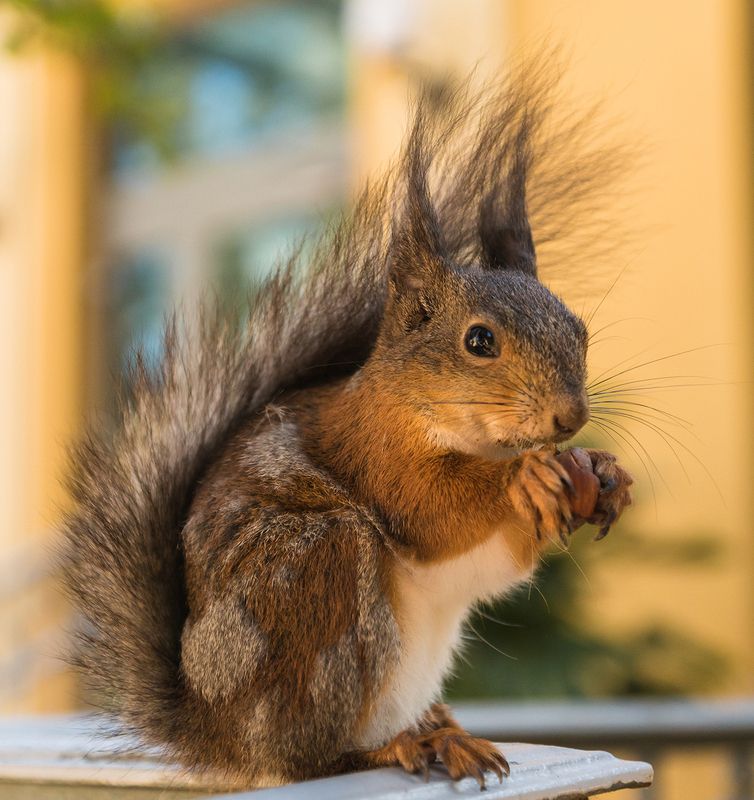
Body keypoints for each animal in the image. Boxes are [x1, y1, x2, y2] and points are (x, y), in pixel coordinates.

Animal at [62, 64, 634, 790]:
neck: (461, 434)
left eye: (579, 328)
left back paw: (444, 732)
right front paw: (525, 478)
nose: (571, 417)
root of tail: (218, 735)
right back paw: (396, 748)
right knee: (310, 758)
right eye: (479, 341)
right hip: (321, 572)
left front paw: (601, 472)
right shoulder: (374, 453)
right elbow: (432, 508)